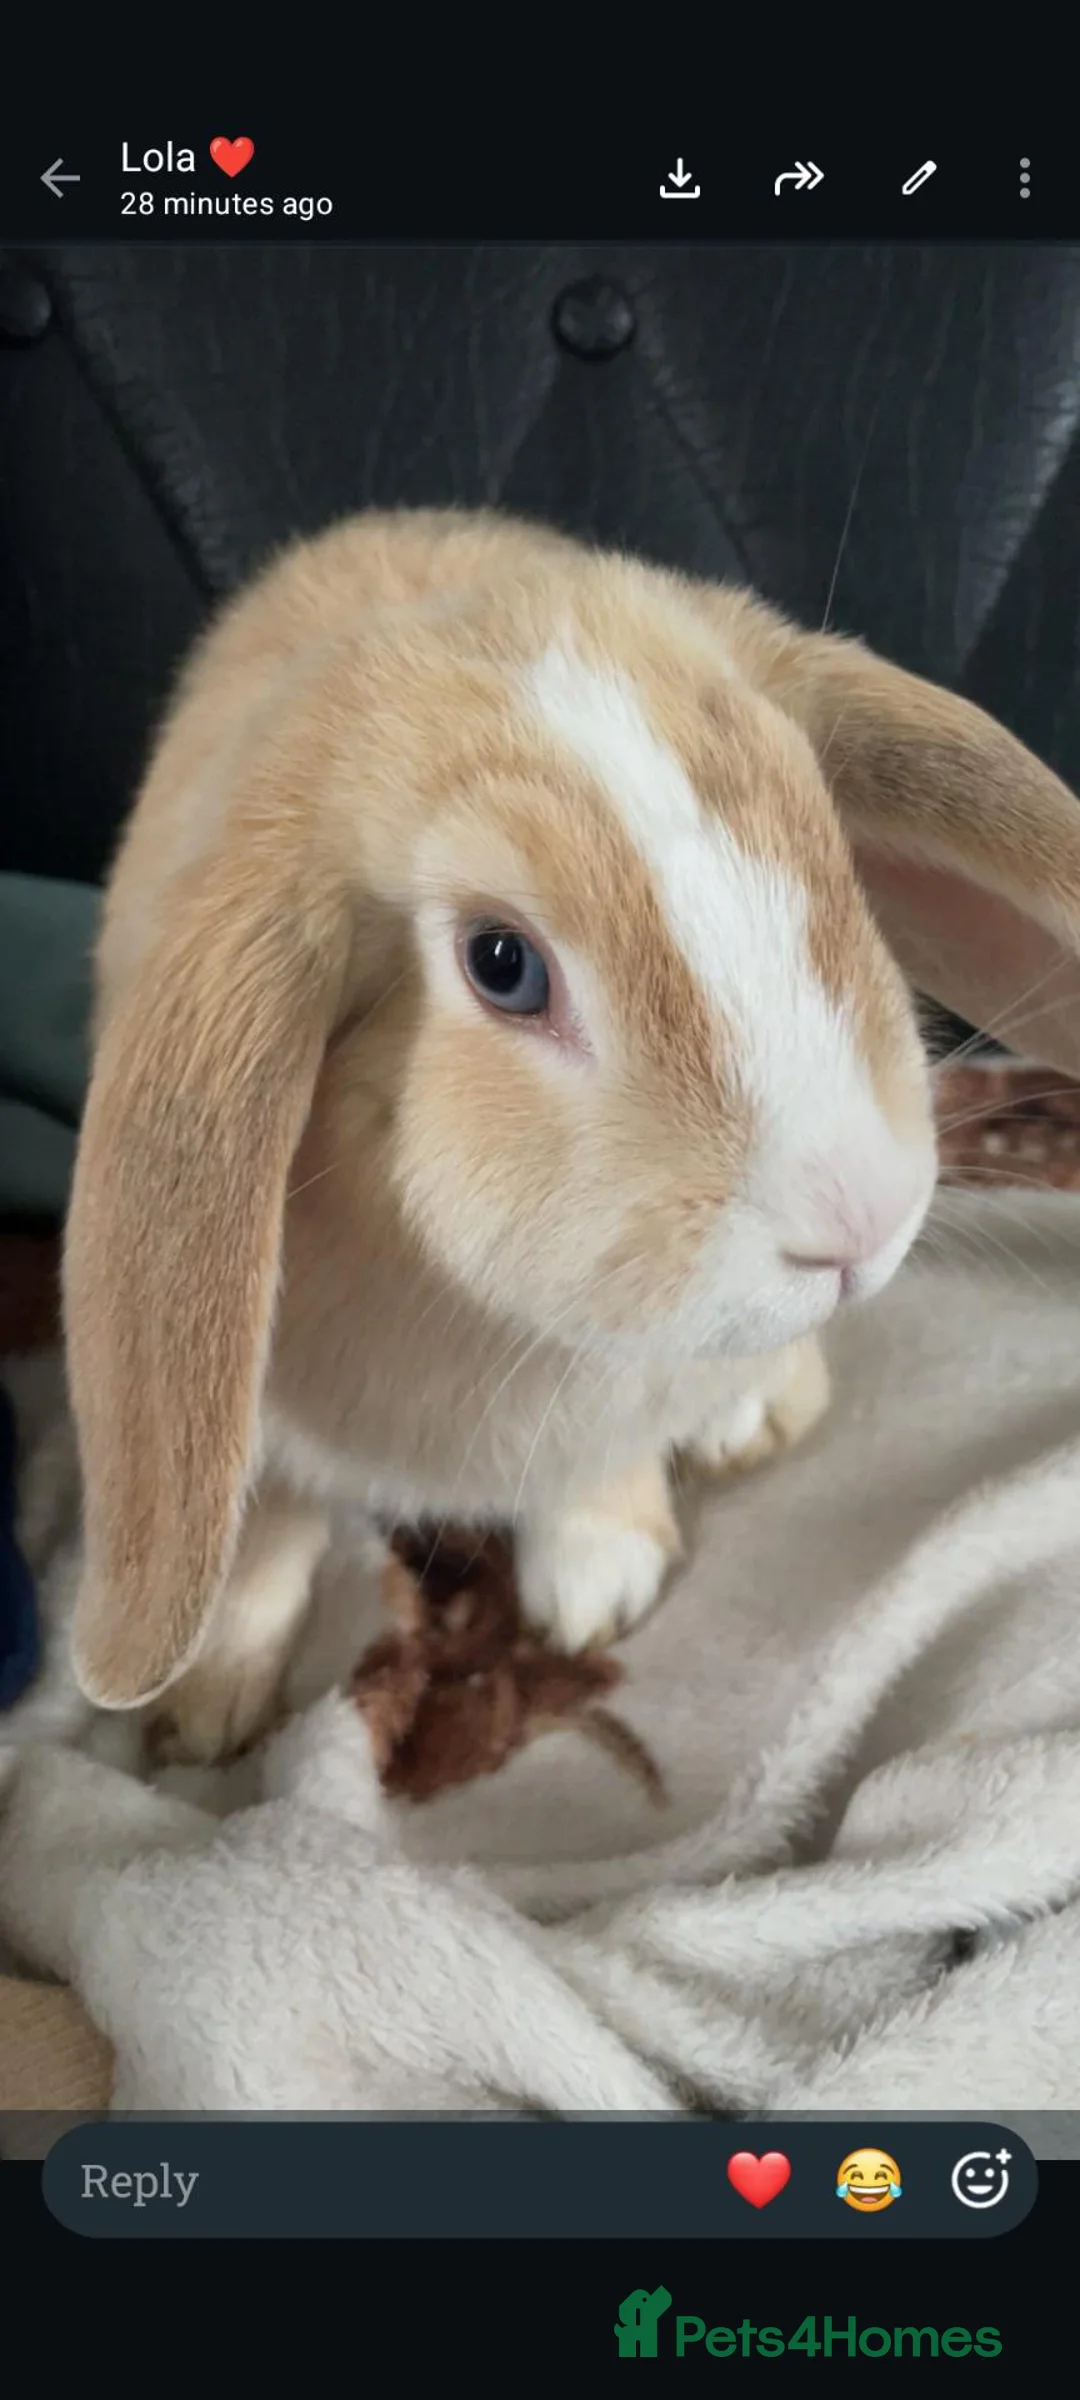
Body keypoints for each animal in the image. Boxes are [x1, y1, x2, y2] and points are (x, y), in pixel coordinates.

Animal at [59, 507, 1080, 1764]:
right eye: (502, 964)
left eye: (832, 847)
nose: (862, 1222)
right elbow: (258, 1528)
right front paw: (203, 1712)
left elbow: (606, 1464)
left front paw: (599, 1583)